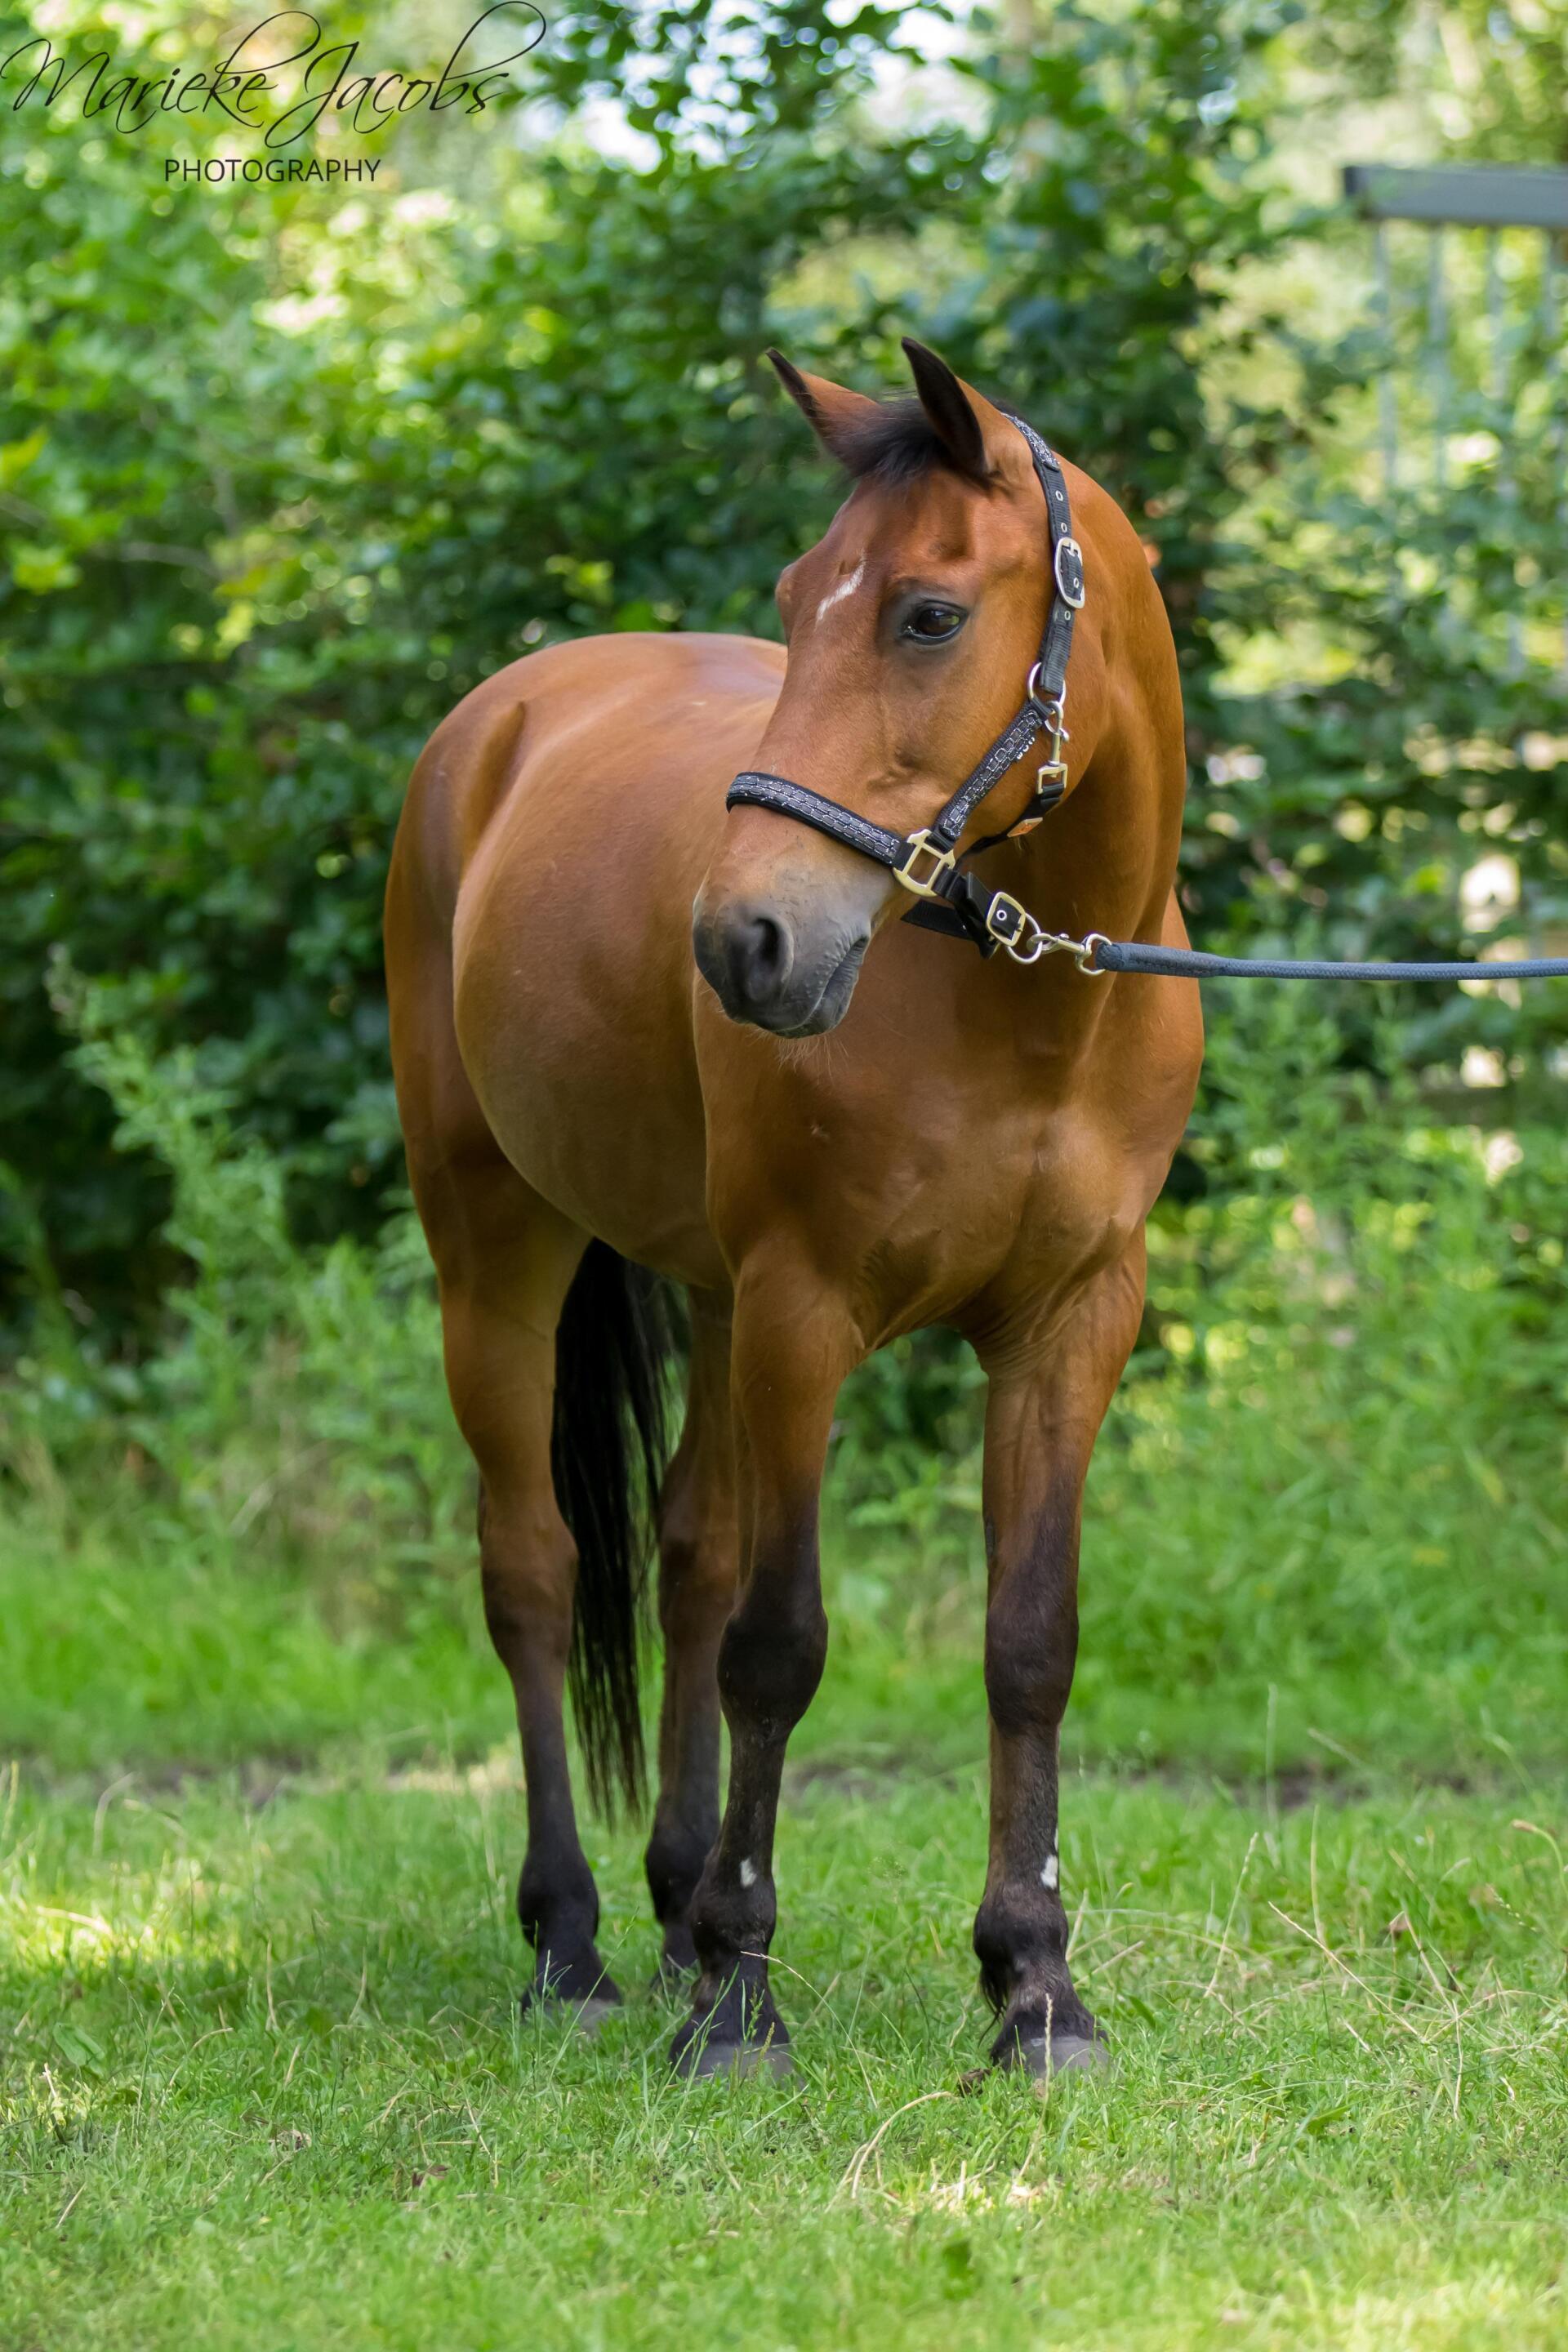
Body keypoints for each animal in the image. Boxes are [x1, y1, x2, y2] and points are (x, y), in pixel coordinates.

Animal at [385, 338, 1203, 2079]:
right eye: (795, 596)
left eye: (928, 614)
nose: (744, 945)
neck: (1029, 1003)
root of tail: (499, 724)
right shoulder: (805, 1310)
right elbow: (781, 1645)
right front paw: (746, 2001)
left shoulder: (1069, 1326)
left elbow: (1027, 1640)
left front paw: (1035, 1985)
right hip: (500, 1254)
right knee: (537, 1574)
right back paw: (575, 1941)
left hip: (703, 1291)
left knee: (688, 1557)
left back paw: (678, 1907)